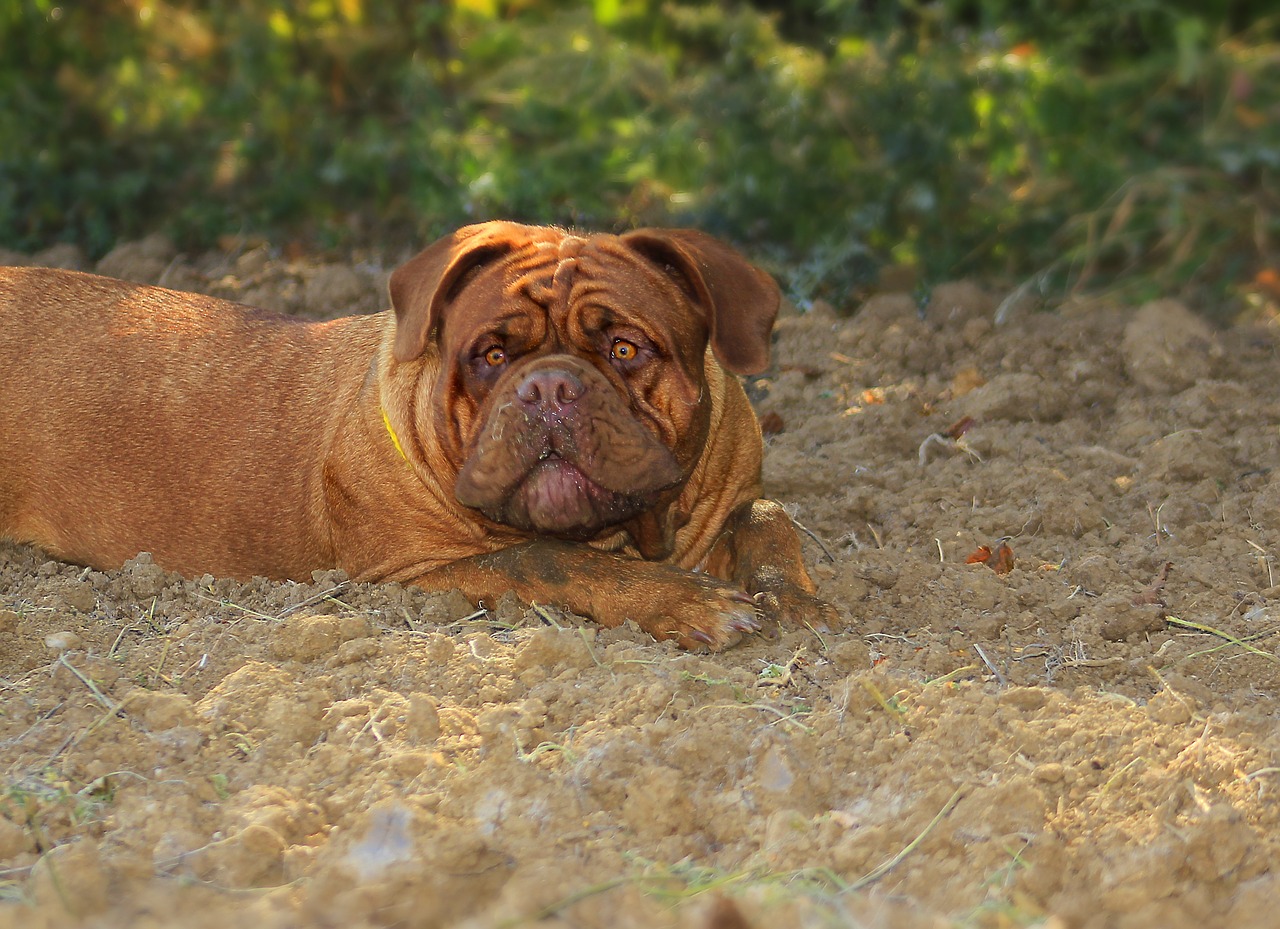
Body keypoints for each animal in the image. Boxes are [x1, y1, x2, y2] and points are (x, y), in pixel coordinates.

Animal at [0, 221, 834, 652]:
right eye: (490, 355)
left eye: (627, 348)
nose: (548, 386)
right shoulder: (411, 571)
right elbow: (544, 557)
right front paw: (692, 603)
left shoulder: (734, 494)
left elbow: (770, 518)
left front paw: (798, 603)